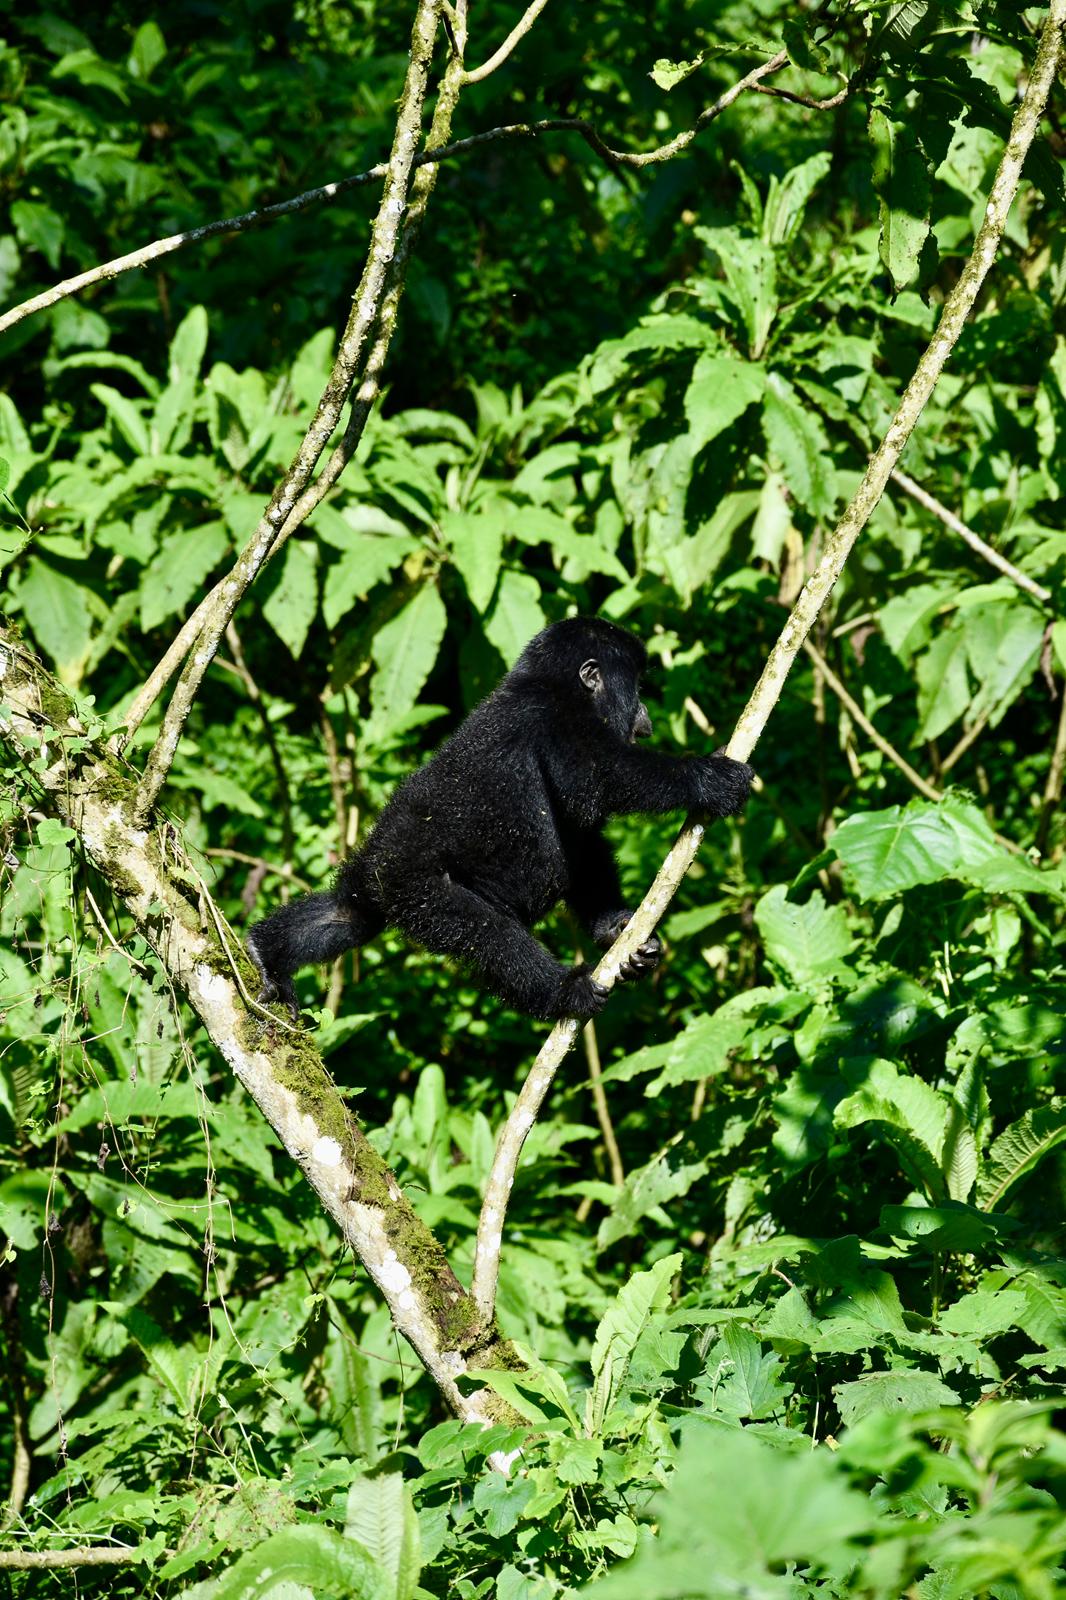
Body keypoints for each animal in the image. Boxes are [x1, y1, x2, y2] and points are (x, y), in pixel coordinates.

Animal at [247, 616, 754, 1022]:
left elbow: (581, 838)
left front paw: (615, 927)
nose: (645, 716)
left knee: (345, 914)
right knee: (490, 937)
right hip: (417, 884)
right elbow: (598, 779)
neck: (549, 684)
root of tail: (380, 856)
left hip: (374, 879)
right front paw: (707, 778)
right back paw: (562, 992)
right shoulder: (557, 718)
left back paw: (267, 952)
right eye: (637, 688)